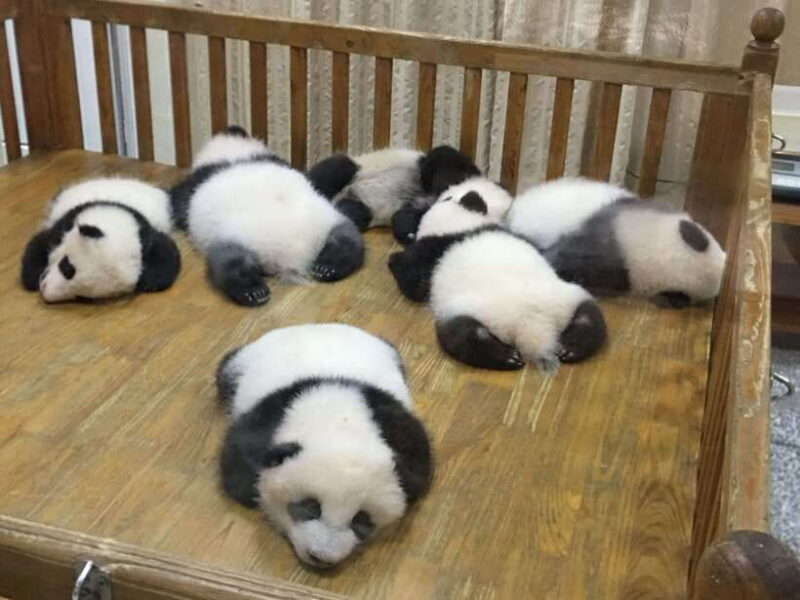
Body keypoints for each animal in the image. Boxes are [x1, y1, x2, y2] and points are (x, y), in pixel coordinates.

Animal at [20, 177, 181, 303]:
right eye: (66, 267)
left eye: (82, 297)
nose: (44, 289)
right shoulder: (66, 224)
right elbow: (39, 244)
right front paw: (33, 277)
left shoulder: (145, 235)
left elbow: (166, 257)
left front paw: (148, 282)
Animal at [169, 126, 365, 307]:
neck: (233, 153)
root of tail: (288, 254)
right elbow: (321, 175)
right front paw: (347, 164)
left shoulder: (192, 185)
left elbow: (176, 202)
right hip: (330, 222)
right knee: (347, 241)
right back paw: (329, 267)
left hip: (233, 239)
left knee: (228, 265)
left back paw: (252, 291)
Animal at [216, 323, 432, 569]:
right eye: (311, 507)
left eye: (361, 519)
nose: (321, 557)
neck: (341, 420)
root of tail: (316, 326)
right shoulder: (272, 416)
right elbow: (237, 463)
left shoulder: (391, 422)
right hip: (240, 363)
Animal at [388, 185, 606, 372]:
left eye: (446, 197)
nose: (445, 194)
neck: (460, 227)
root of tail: (532, 325)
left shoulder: (430, 252)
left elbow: (412, 281)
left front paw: (394, 261)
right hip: (567, 297)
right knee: (589, 317)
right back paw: (572, 348)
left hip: (464, 310)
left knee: (462, 335)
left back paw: (505, 357)